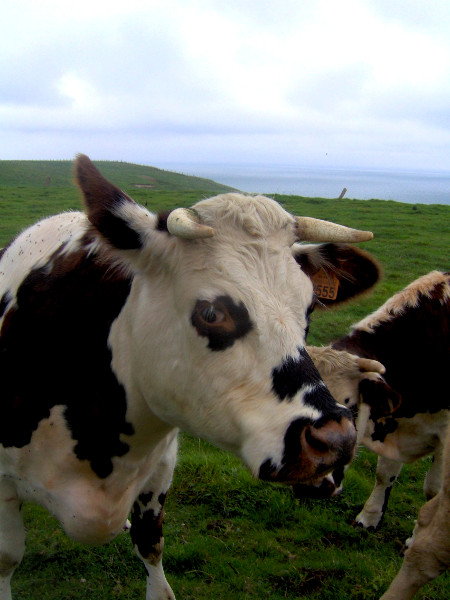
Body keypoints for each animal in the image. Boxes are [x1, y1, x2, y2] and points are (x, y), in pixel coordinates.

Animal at [0, 156, 380, 600]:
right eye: (212, 313)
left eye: (310, 308)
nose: (335, 439)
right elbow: (7, 558)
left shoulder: (160, 470)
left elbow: (151, 545)